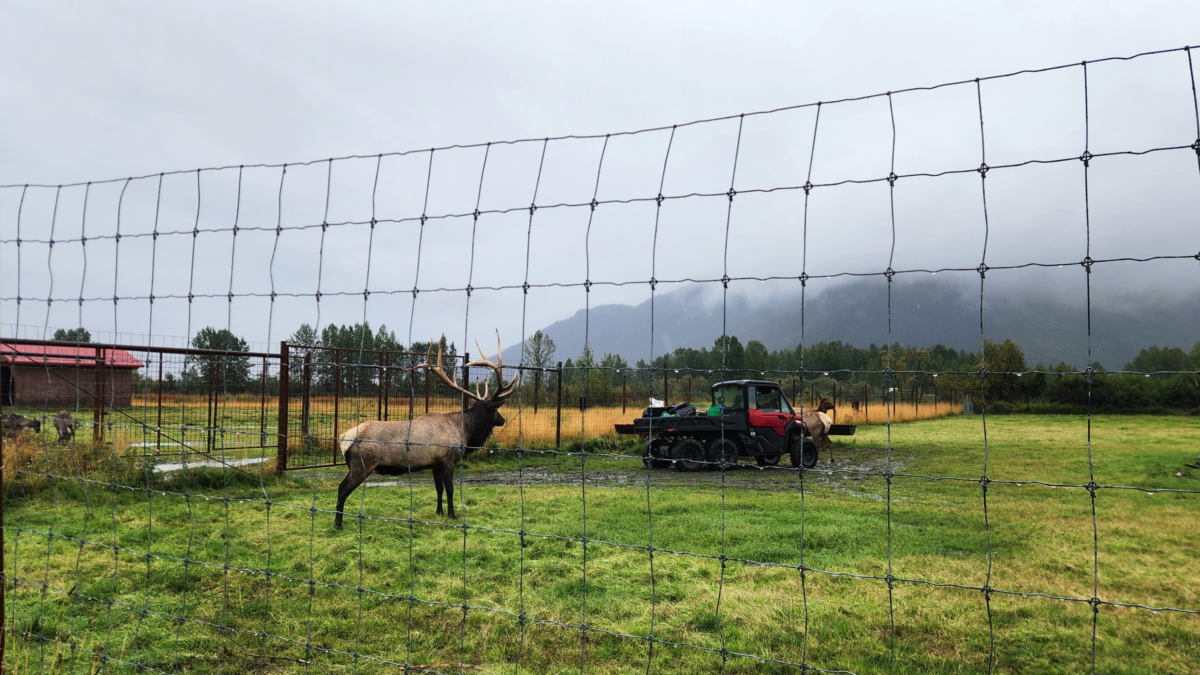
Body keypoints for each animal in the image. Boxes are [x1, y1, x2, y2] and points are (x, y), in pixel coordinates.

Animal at [333, 333, 518, 530]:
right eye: (495, 410)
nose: (503, 420)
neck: (465, 431)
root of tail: (343, 438)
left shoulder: (435, 463)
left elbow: (439, 488)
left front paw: (439, 512)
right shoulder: (448, 459)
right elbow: (450, 488)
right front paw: (452, 514)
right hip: (362, 465)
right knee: (342, 489)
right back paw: (338, 524)